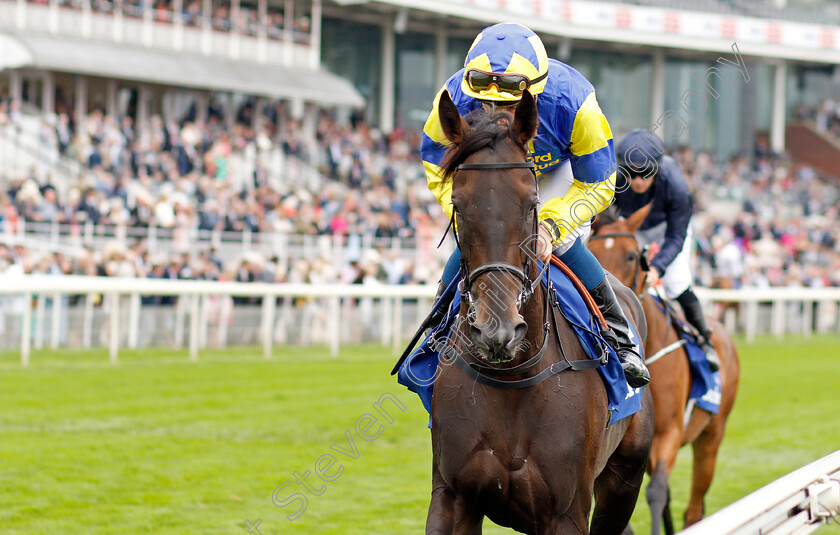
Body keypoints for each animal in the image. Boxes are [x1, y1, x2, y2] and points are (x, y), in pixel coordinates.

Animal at [588, 206, 740, 535]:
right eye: (592, 248)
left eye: (632, 255)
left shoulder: (670, 432)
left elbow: (656, 492)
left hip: (712, 435)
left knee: (693, 508)